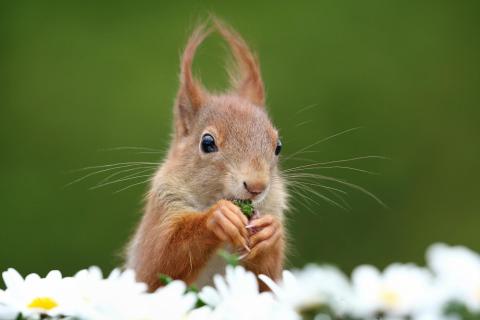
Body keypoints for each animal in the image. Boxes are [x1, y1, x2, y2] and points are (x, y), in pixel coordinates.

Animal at [125, 18, 286, 292]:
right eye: (207, 142)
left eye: (278, 146)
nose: (256, 186)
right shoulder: (163, 207)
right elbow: (158, 261)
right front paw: (218, 218)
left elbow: (267, 281)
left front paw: (270, 232)